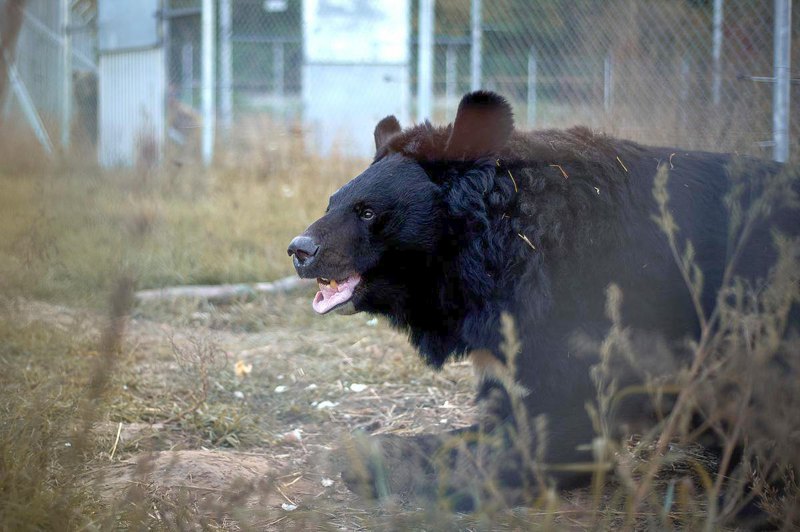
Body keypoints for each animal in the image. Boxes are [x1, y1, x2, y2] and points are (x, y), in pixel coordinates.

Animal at [290, 92, 800, 516]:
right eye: (332, 202)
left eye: (368, 212)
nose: (300, 249)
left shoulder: (591, 308)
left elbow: (561, 425)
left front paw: (374, 460)